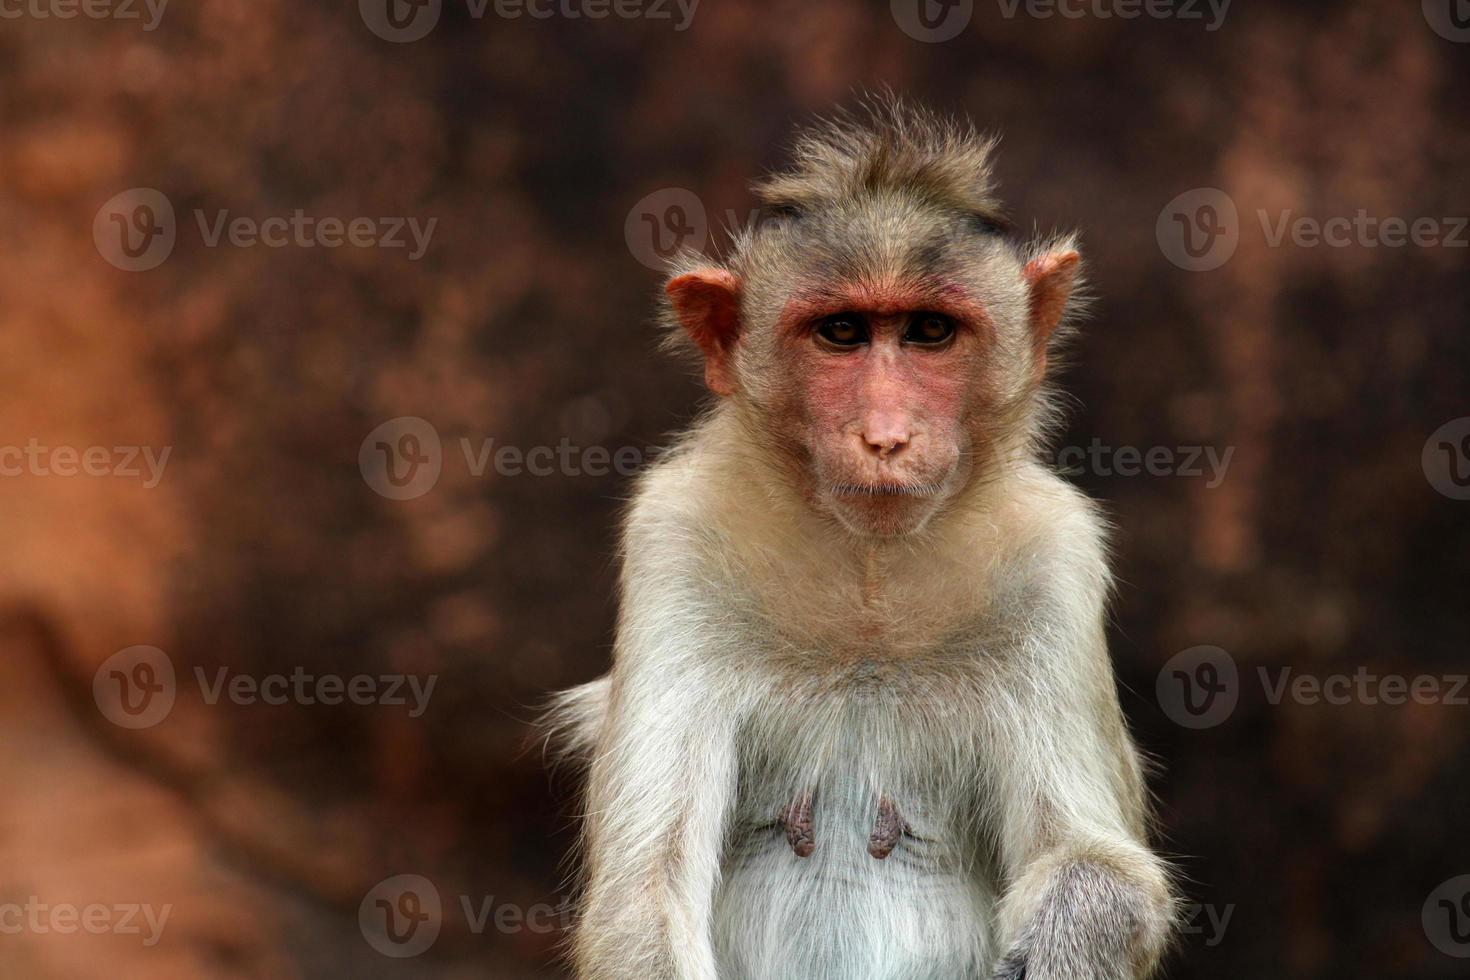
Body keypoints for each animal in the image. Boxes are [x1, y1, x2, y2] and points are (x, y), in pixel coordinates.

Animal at [546, 101, 1176, 980]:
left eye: (929, 331)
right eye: (841, 332)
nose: (885, 437)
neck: (869, 579)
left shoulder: (1054, 556)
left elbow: (1098, 865)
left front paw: (1066, 933)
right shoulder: (676, 538)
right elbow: (642, 894)